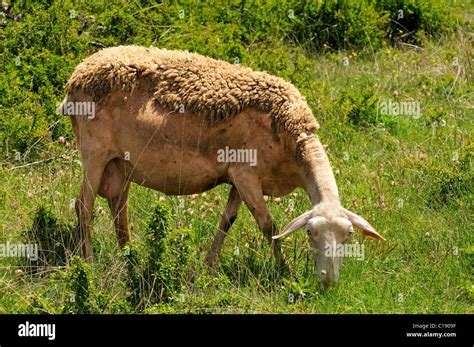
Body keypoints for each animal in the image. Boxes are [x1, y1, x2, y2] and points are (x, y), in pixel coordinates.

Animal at [65, 45, 384, 288]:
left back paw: (129, 258)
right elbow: (268, 226)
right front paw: (284, 271)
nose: (328, 281)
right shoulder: (246, 175)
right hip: (95, 152)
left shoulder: (239, 179)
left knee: (119, 208)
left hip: (120, 162)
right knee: (84, 206)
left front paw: (209, 267)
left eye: (349, 235)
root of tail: (78, 72)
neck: (291, 136)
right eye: (309, 233)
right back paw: (88, 263)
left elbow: (227, 220)